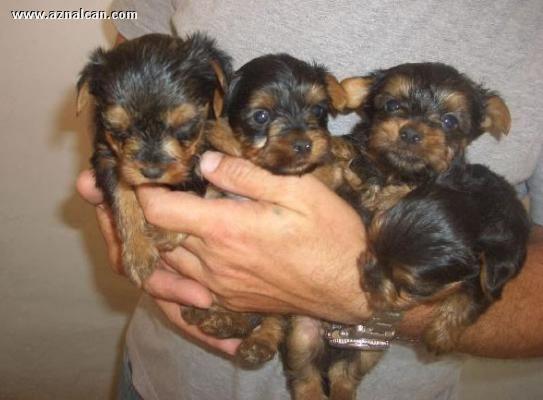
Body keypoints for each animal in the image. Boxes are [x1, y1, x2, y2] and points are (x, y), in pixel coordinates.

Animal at [76, 32, 232, 286]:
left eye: (184, 126)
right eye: (118, 129)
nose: (151, 172)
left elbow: (199, 194)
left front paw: (161, 235)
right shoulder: (106, 157)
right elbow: (122, 194)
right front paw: (138, 252)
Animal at [183, 54, 366, 400]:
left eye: (318, 111)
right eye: (261, 115)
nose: (304, 144)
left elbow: (330, 170)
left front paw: (337, 151)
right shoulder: (217, 191)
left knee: (272, 322)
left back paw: (254, 342)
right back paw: (210, 317)